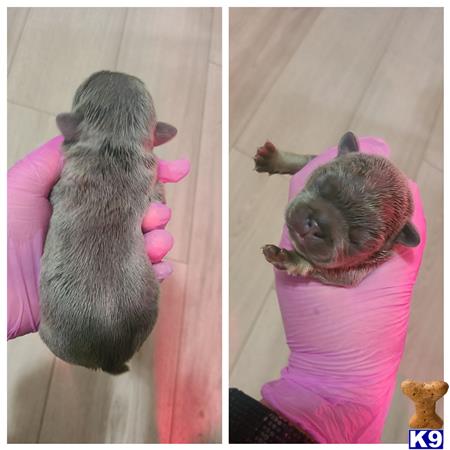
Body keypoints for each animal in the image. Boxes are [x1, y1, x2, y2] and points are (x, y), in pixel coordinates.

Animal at [256, 131, 422, 284]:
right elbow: (305, 160)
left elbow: (315, 267)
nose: (314, 226)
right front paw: (275, 159)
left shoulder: (348, 274)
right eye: (321, 185)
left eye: (356, 241)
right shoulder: (317, 159)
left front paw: (289, 258)